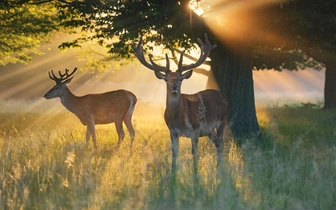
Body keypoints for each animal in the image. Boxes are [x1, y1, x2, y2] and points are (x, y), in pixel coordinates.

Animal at [131, 33, 228, 171]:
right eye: (166, 79)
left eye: (180, 78)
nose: (174, 87)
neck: (179, 119)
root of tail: (223, 95)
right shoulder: (172, 132)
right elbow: (174, 153)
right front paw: (173, 173)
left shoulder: (196, 128)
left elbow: (194, 152)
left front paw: (195, 173)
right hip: (210, 130)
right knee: (218, 143)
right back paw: (218, 167)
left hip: (222, 121)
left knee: (221, 143)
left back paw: (221, 169)